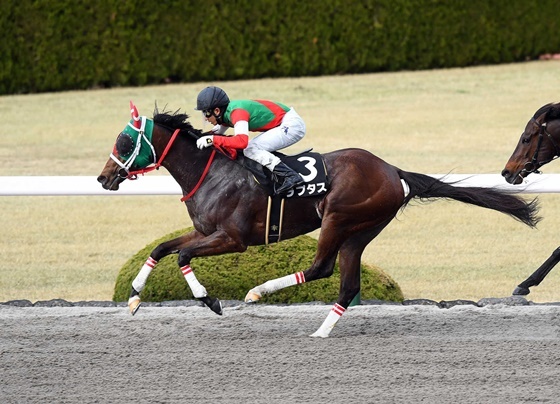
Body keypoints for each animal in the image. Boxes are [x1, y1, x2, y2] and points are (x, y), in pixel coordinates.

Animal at [98, 102, 540, 336]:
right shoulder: (204, 230)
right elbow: (162, 248)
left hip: (339, 218)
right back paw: (323, 329)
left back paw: (257, 291)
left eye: (125, 141)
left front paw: (210, 300)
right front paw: (134, 298)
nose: (104, 178)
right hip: (361, 231)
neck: (212, 171)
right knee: (346, 284)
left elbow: (183, 257)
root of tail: (393, 171)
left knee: (320, 268)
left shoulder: (232, 239)